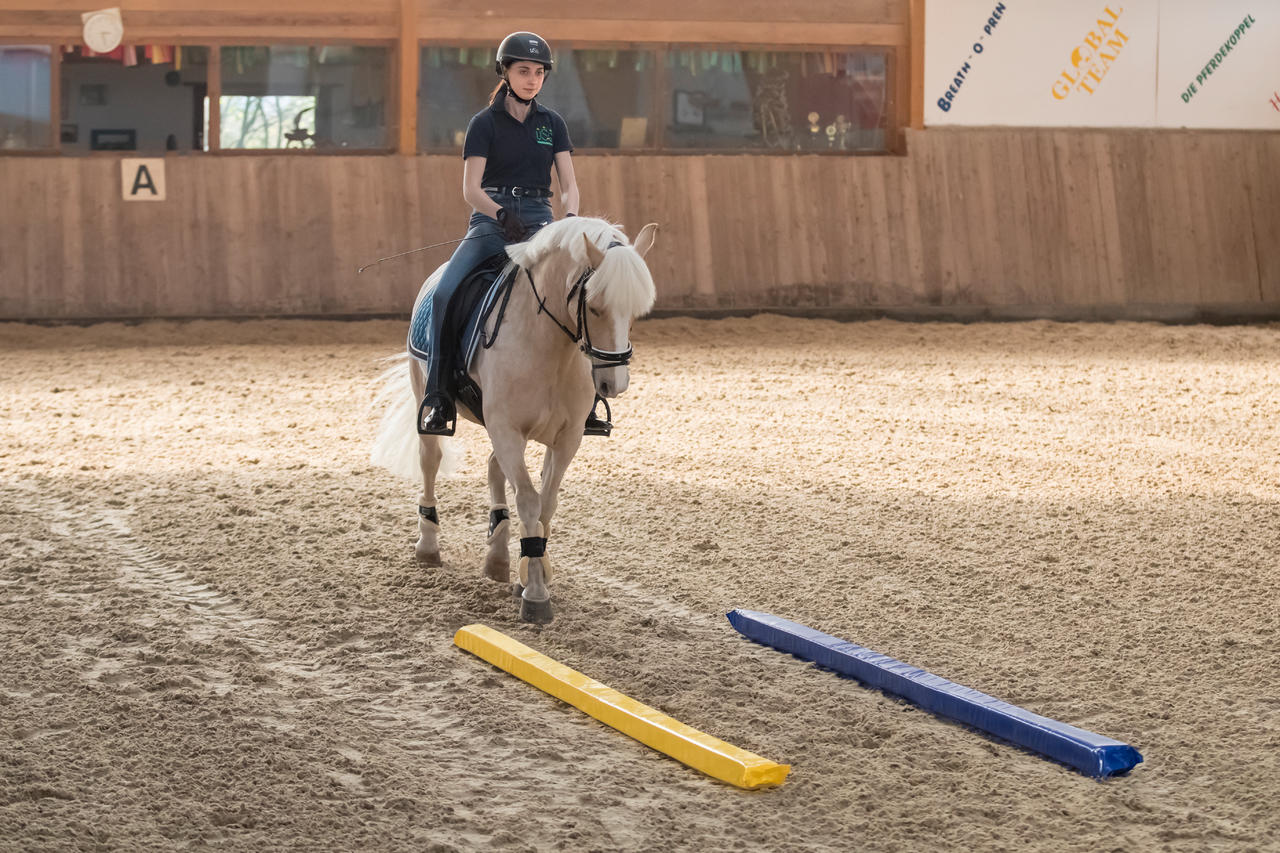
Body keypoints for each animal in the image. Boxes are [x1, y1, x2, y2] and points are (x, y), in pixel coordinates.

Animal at [368, 216, 650, 622]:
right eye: (595, 307)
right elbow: (529, 501)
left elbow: (546, 504)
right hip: (427, 393)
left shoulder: (566, 438)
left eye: (635, 313)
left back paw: (498, 556)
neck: (551, 347)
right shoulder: (507, 428)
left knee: (493, 468)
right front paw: (535, 596)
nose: (615, 384)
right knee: (430, 461)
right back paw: (428, 546)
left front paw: (533, 571)